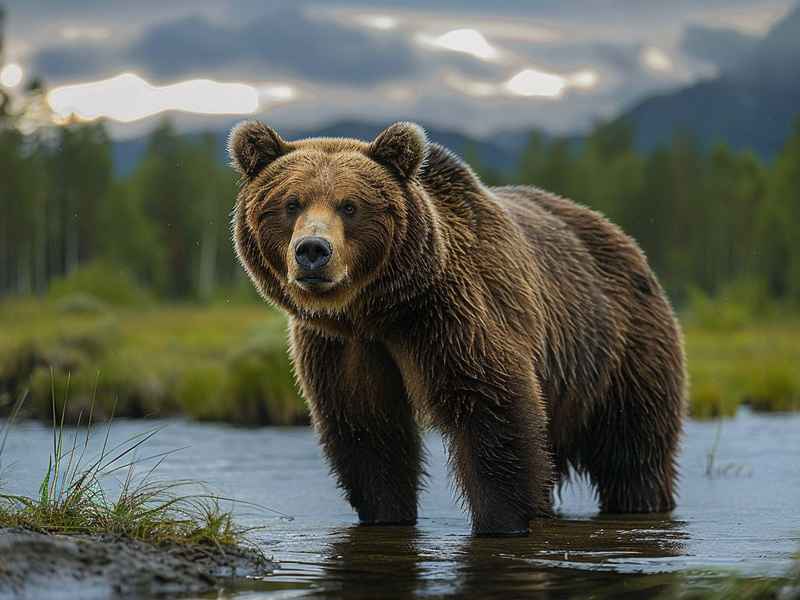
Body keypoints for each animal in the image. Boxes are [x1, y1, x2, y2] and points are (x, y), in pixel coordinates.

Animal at [228, 120, 687, 535]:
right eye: (291, 203)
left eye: (349, 205)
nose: (312, 251)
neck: (377, 311)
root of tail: (624, 238)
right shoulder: (342, 346)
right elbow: (368, 430)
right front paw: (386, 514)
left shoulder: (451, 317)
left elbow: (492, 411)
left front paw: (504, 521)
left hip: (621, 348)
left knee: (634, 450)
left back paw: (641, 502)